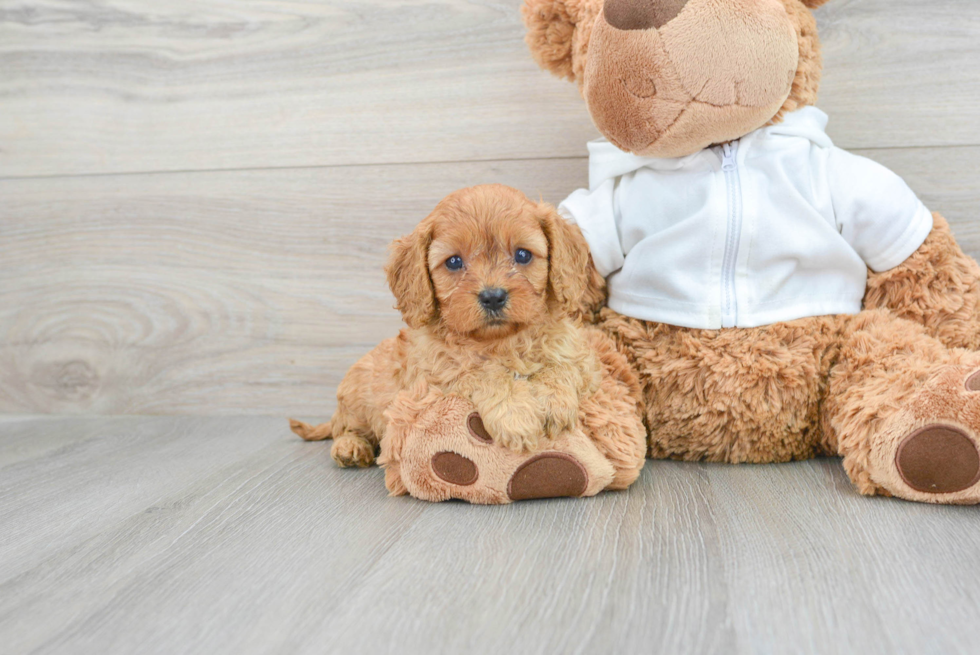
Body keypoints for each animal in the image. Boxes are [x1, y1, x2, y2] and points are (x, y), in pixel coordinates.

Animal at [290, 184, 608, 468]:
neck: (501, 341)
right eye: (454, 261)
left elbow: (562, 367)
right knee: (346, 429)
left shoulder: (582, 359)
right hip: (358, 399)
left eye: (523, 255)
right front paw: (516, 416)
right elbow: (484, 374)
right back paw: (350, 448)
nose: (493, 296)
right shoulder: (435, 381)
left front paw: (553, 401)